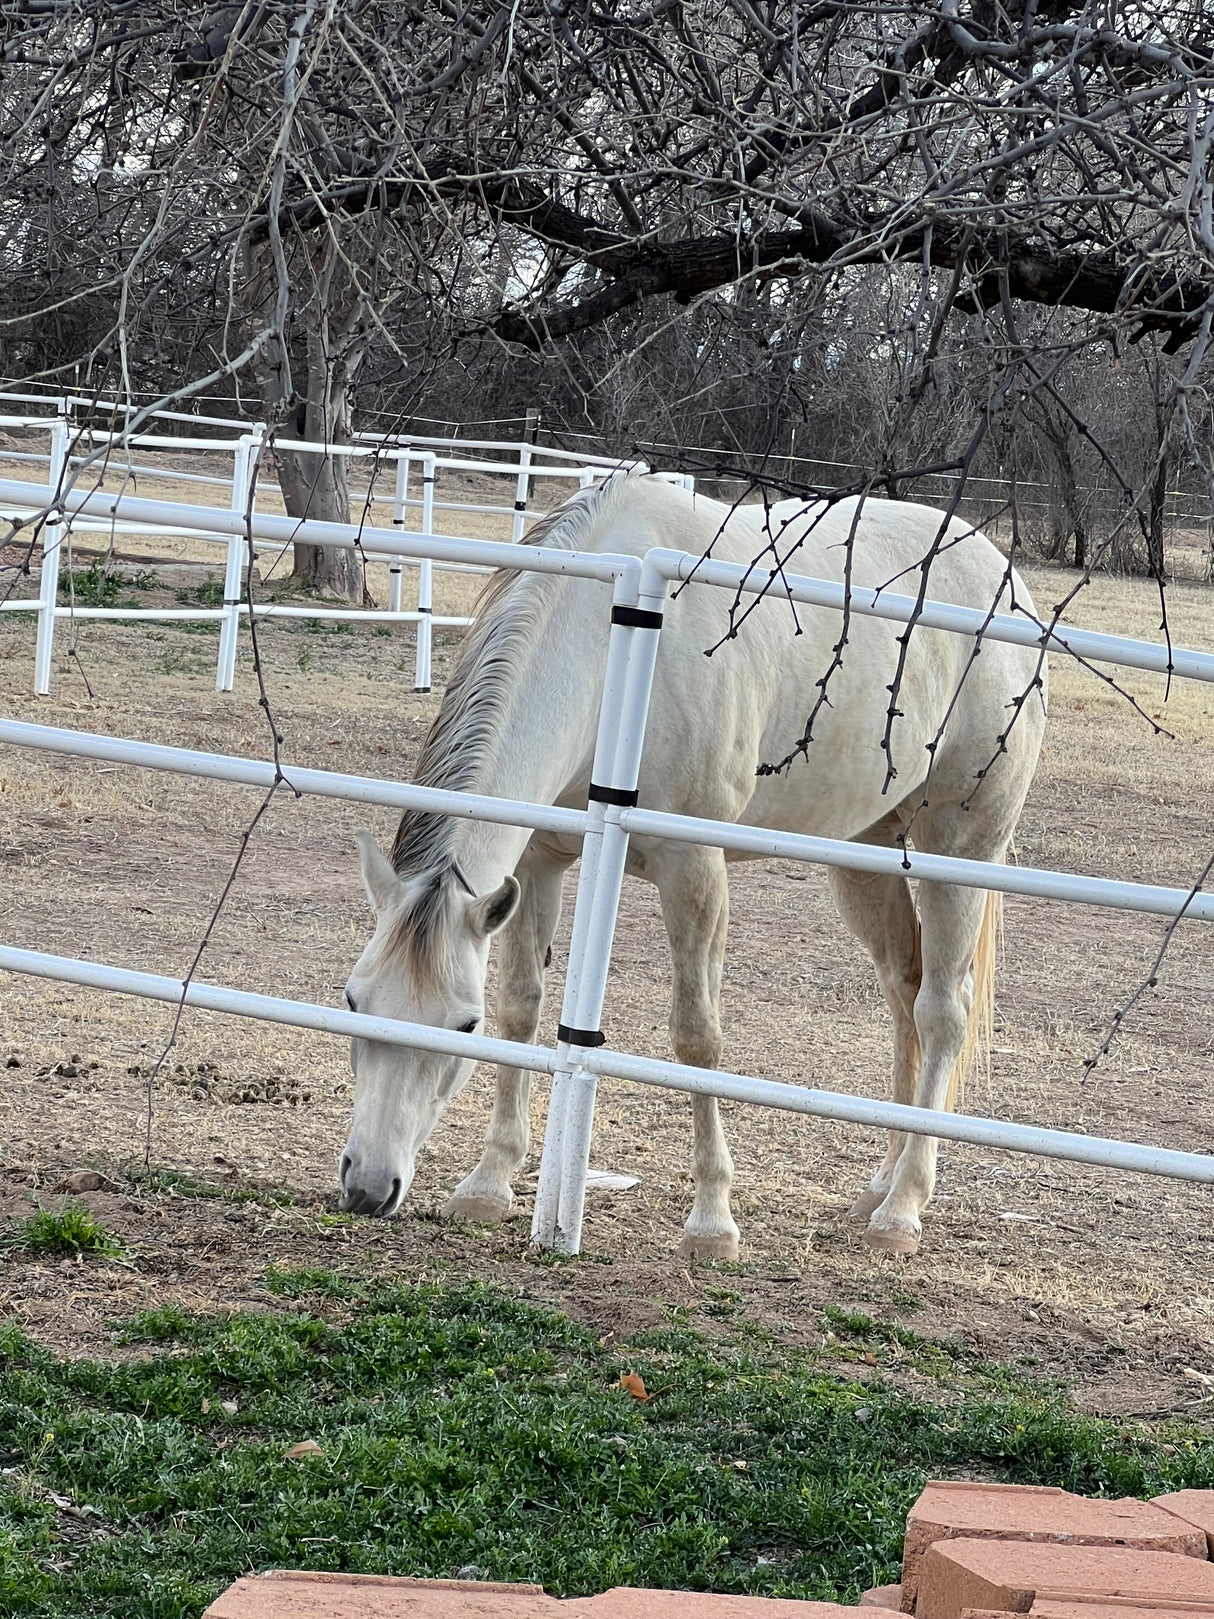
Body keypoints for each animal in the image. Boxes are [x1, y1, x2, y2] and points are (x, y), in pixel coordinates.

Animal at [339, 472, 1048, 1256]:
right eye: (354, 1001)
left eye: (459, 1027)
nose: (367, 1185)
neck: (616, 650)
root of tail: (1005, 578)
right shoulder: (544, 861)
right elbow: (522, 1009)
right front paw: (488, 1184)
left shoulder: (694, 871)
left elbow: (697, 1036)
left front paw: (713, 1220)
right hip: (865, 857)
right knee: (905, 995)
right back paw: (878, 1187)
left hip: (962, 852)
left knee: (943, 1011)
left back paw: (902, 1209)